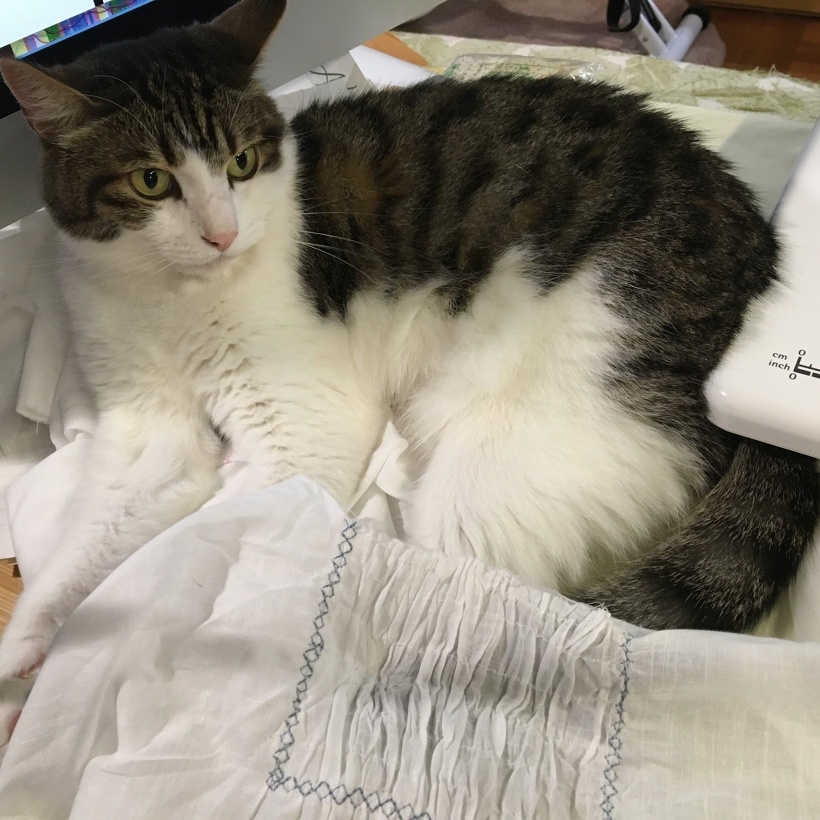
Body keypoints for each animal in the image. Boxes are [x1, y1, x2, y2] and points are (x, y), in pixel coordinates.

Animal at [0, 0, 817, 745]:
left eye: (240, 163)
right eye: (150, 181)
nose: (221, 233)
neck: (172, 295)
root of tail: (756, 260)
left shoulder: (302, 427)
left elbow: (187, 548)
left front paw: (100, 653)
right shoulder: (151, 433)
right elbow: (93, 540)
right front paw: (27, 649)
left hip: (505, 455)